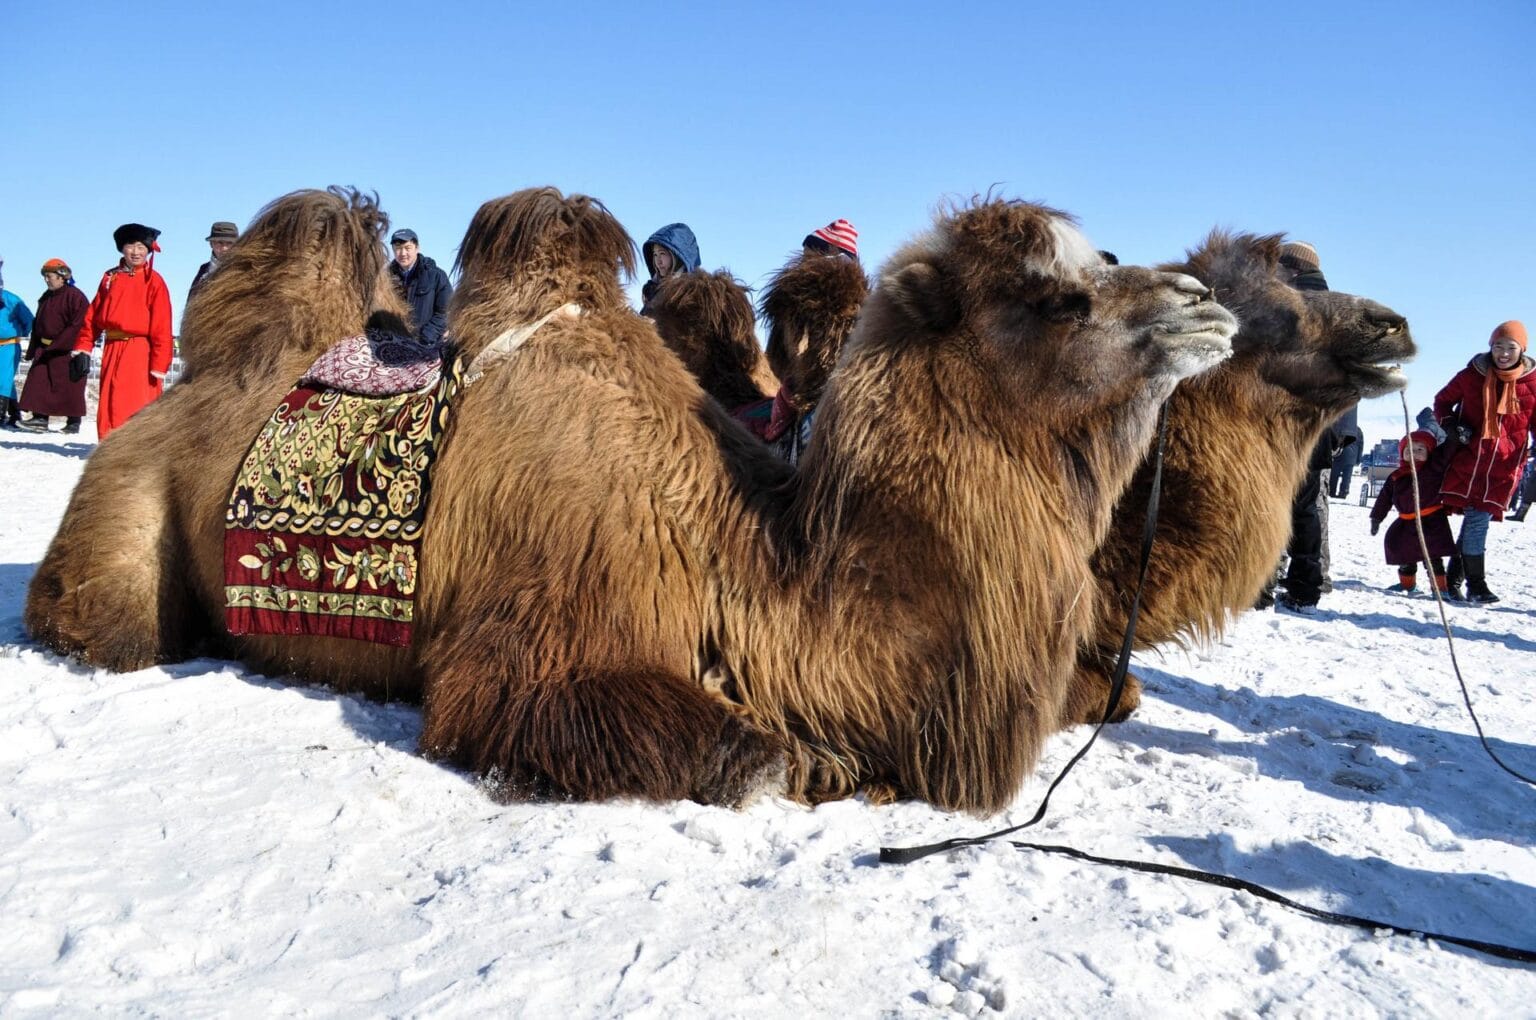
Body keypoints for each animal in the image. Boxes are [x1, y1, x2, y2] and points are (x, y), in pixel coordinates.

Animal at [28, 187, 1239, 813]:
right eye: (1055, 296)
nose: (1205, 304)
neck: (748, 563)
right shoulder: (536, 654)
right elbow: (759, 759)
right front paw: (824, 765)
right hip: (121, 514)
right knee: (113, 622)